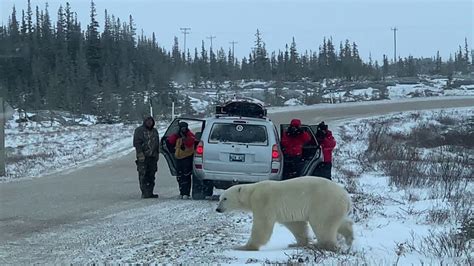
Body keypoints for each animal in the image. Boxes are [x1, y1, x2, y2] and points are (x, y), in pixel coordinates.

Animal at [215, 176, 352, 250]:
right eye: (219, 198)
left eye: (225, 198)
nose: (218, 209)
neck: (251, 192)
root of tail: (346, 197)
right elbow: (295, 224)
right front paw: (297, 243)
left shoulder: (263, 201)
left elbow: (262, 224)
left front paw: (243, 247)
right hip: (334, 206)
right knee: (338, 221)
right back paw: (349, 238)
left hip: (324, 202)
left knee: (322, 224)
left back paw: (322, 245)